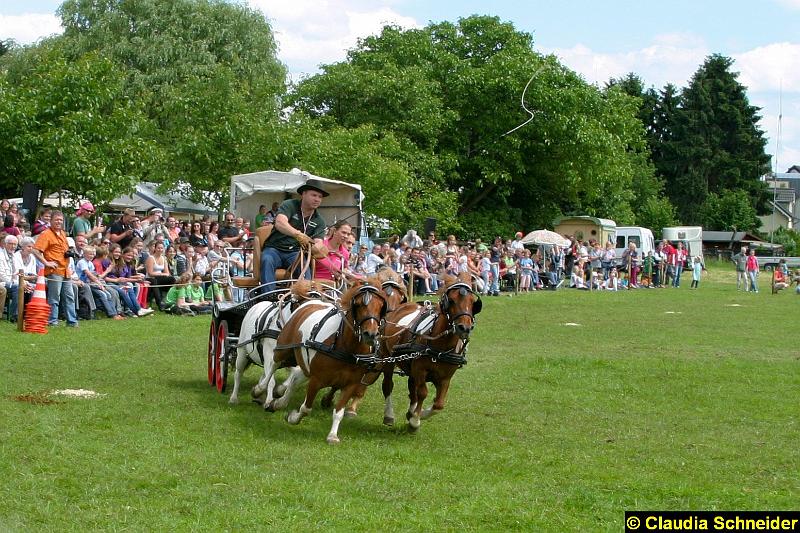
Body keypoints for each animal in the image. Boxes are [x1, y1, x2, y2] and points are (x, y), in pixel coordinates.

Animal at [270, 276, 390, 442]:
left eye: (381, 306)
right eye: (358, 304)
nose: (370, 334)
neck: (345, 347)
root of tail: (311, 301)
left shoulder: (351, 385)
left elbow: (339, 411)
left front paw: (333, 435)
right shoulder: (316, 380)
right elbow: (306, 408)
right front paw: (293, 418)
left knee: (295, 377)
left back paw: (280, 402)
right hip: (283, 348)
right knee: (272, 365)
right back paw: (262, 390)